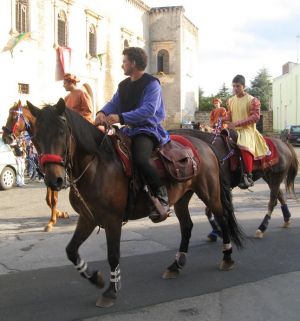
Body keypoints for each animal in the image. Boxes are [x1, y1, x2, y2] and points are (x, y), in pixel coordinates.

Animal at [1, 100, 68, 230]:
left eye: (13, 117)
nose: (5, 138)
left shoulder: (57, 175)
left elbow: (54, 199)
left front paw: (52, 220)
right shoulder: (48, 174)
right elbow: (48, 199)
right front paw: (58, 214)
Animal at [27, 98, 245, 308]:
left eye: (61, 133)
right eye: (35, 138)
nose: (54, 180)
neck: (97, 165)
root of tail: (205, 145)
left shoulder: (112, 220)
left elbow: (113, 255)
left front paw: (111, 291)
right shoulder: (88, 218)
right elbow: (71, 251)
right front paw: (96, 278)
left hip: (210, 194)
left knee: (222, 218)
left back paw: (227, 258)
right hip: (183, 198)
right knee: (187, 226)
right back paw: (175, 265)